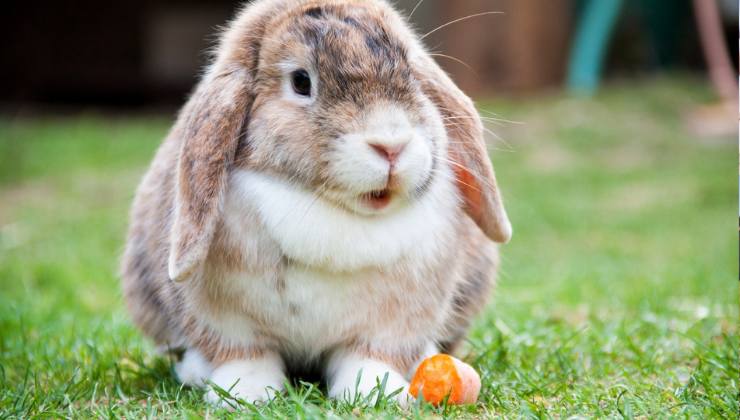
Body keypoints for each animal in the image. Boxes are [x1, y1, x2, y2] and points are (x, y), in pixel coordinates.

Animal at [120, 0, 511, 407]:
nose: (391, 145)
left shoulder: (392, 324)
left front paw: (376, 392)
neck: (334, 211)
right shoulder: (227, 321)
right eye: (301, 82)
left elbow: (368, 356)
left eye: (410, 72)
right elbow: (245, 355)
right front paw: (245, 393)